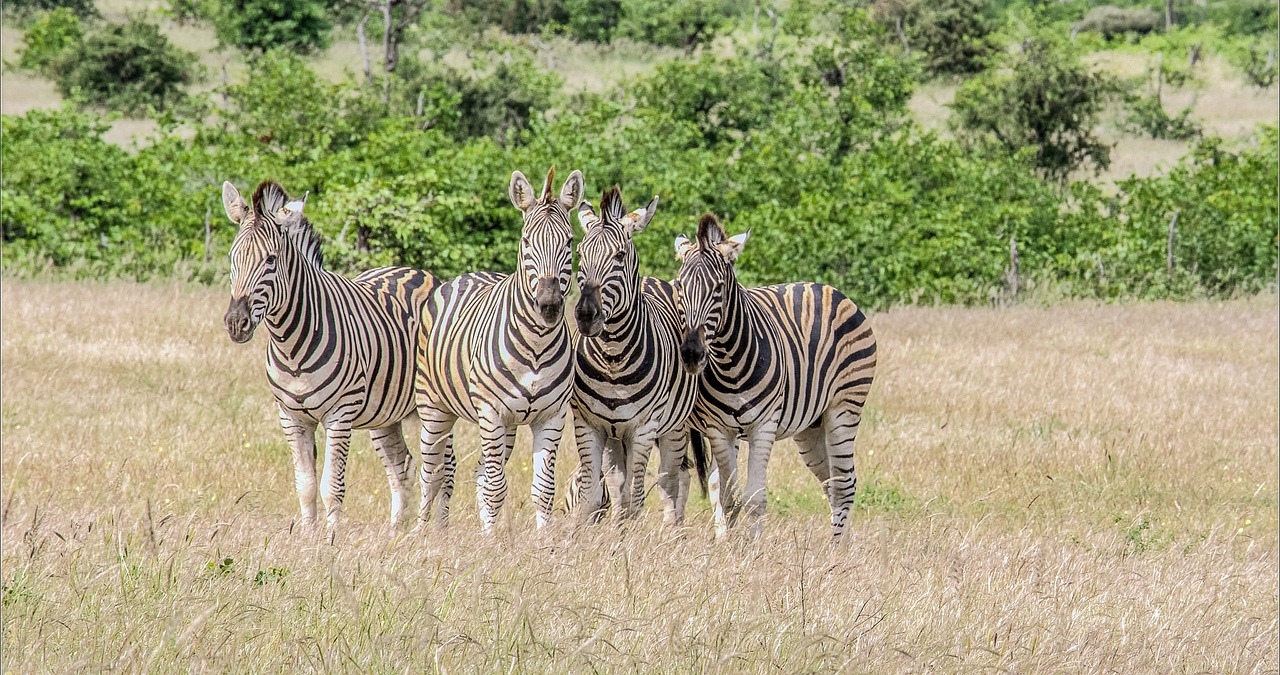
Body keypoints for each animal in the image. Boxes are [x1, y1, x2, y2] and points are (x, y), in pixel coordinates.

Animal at [221, 180, 437, 542]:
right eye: (232, 257)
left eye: (270, 259)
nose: (236, 323)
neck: (291, 345)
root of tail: (413, 270)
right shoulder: (291, 417)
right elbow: (305, 485)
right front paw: (307, 539)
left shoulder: (340, 414)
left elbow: (331, 486)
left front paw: (331, 541)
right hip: (386, 414)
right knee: (402, 467)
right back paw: (397, 531)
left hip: (431, 403)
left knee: (439, 469)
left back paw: (429, 531)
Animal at [414, 167, 583, 533]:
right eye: (526, 242)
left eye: (569, 242)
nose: (549, 306)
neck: (537, 345)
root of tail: (467, 274)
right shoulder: (491, 412)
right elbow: (495, 487)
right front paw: (492, 541)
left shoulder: (552, 416)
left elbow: (542, 488)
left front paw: (542, 540)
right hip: (434, 407)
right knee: (430, 473)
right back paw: (423, 532)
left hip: (505, 425)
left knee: (479, 469)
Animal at [570, 186, 707, 525]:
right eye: (580, 254)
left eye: (619, 255)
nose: (586, 315)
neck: (613, 359)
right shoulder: (590, 424)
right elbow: (594, 493)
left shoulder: (643, 429)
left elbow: (636, 495)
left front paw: (627, 536)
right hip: (619, 435)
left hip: (674, 427)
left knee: (675, 477)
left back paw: (674, 530)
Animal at [671, 213, 877, 541]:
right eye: (680, 287)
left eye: (718, 288)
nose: (691, 353)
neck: (729, 362)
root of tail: (826, 288)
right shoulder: (719, 429)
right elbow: (728, 495)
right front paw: (727, 545)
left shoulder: (763, 425)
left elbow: (755, 498)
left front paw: (753, 548)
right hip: (811, 425)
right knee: (830, 483)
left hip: (844, 408)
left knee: (844, 485)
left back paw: (838, 549)